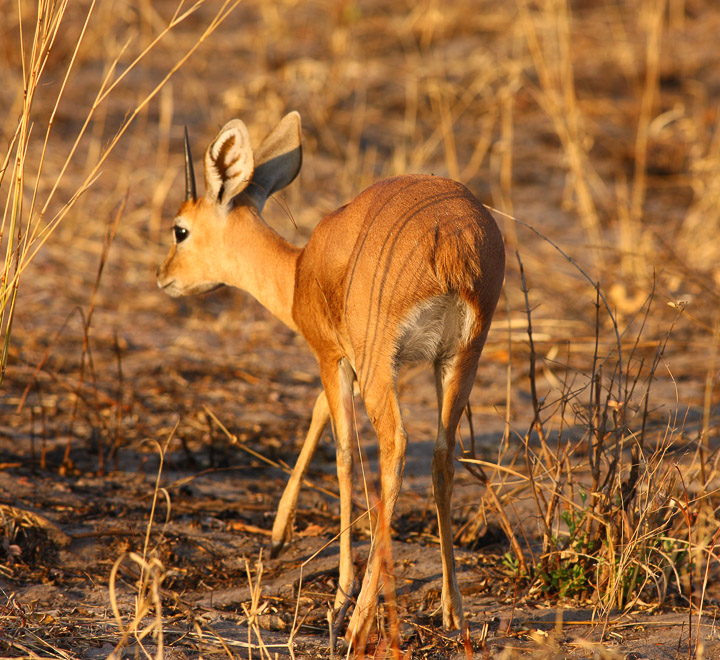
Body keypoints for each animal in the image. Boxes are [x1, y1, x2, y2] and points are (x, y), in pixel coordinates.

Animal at [156, 111, 505, 651]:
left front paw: (338, 589)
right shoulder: (363, 365)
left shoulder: (332, 356)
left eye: (180, 229)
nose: (164, 277)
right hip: (460, 359)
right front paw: (280, 530)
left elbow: (341, 453)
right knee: (443, 457)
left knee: (394, 447)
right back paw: (454, 612)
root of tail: (453, 240)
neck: (300, 269)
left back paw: (360, 620)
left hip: (386, 363)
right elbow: (325, 417)